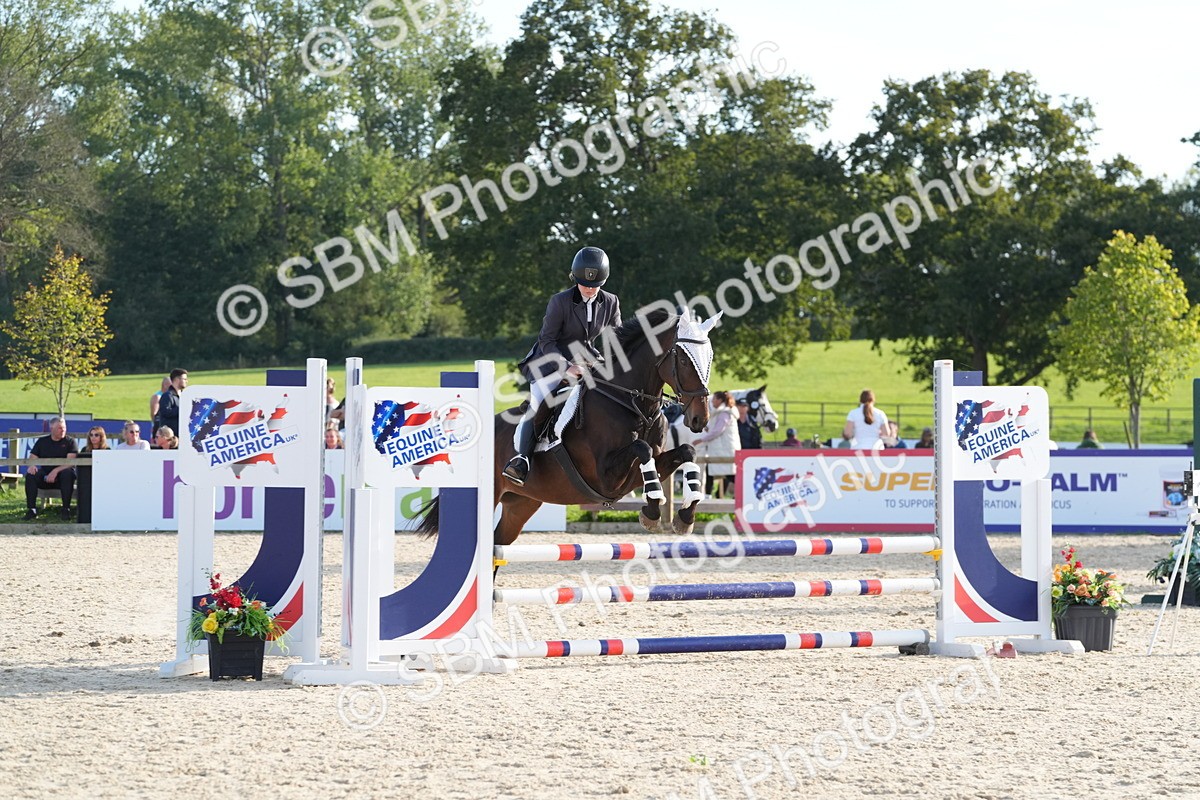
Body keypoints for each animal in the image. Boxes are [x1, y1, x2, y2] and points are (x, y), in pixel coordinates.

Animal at [417, 308, 722, 545]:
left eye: (709, 358)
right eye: (683, 359)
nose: (700, 419)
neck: (632, 404)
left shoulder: (639, 471)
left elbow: (686, 452)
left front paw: (686, 515)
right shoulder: (606, 476)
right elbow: (642, 448)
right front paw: (652, 512)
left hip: (521, 503)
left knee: (498, 544)